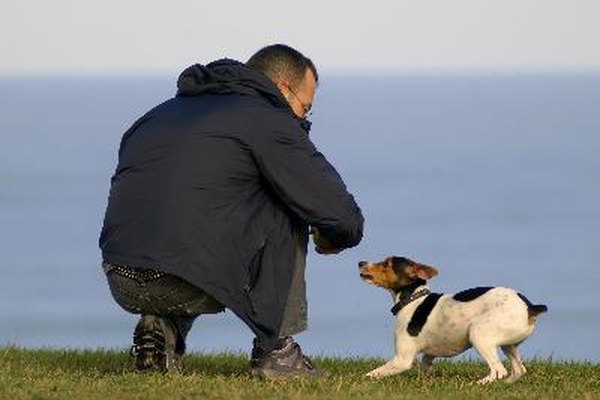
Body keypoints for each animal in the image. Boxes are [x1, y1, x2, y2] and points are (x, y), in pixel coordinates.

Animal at [358, 256, 548, 384]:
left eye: (386, 263)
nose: (360, 262)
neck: (413, 299)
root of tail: (529, 307)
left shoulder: (401, 360)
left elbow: (373, 373)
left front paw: (362, 380)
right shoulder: (431, 352)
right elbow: (426, 362)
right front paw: (430, 379)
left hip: (479, 335)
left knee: (498, 370)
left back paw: (479, 384)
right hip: (508, 345)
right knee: (518, 370)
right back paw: (505, 384)